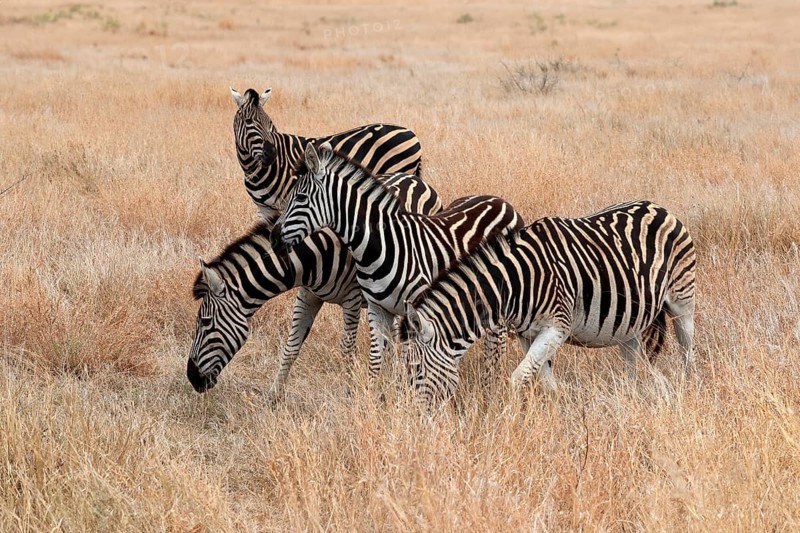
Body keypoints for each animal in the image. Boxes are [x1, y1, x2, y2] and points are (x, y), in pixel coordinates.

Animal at [188, 172, 442, 403]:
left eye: (205, 322)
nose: (192, 378)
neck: (312, 255)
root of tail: (415, 179)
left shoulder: (352, 299)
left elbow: (346, 349)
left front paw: (349, 393)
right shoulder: (308, 295)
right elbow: (291, 346)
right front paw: (273, 396)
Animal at [230, 87, 422, 226]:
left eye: (269, 123)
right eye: (249, 122)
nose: (271, 155)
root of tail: (411, 133)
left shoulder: (290, 201)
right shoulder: (264, 209)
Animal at [272, 143, 525, 384]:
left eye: (301, 198)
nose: (273, 238)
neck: (380, 245)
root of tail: (503, 202)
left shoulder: (416, 310)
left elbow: (409, 357)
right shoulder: (377, 309)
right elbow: (377, 360)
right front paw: (375, 395)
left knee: (497, 342)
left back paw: (492, 384)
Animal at [398, 200, 697, 407]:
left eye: (415, 368)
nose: (415, 418)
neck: (515, 282)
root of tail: (659, 207)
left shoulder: (557, 328)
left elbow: (517, 378)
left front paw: (510, 419)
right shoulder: (526, 334)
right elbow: (545, 380)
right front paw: (559, 415)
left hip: (682, 301)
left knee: (687, 349)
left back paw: (688, 388)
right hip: (628, 321)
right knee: (634, 360)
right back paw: (633, 397)